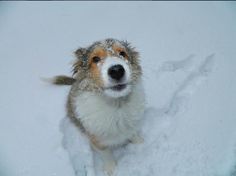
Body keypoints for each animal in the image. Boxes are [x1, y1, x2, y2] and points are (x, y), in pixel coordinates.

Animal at [51, 38, 146, 175]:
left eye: (122, 53)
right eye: (95, 59)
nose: (117, 70)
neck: (116, 106)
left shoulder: (133, 123)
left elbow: (133, 133)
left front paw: (140, 144)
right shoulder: (97, 140)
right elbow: (106, 153)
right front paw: (111, 169)